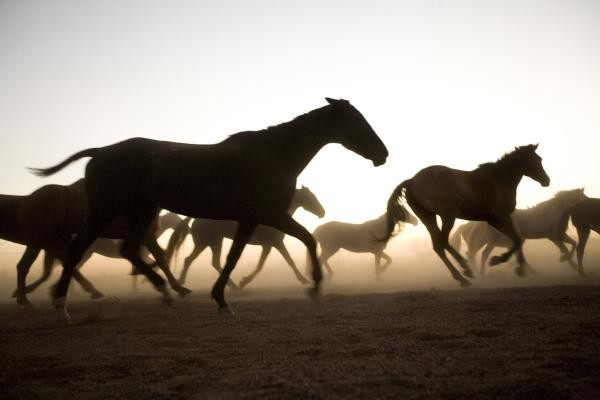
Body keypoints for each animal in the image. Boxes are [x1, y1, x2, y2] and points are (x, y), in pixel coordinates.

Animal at [0, 181, 190, 306]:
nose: (187, 228)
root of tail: (26, 201)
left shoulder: (146, 238)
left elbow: (159, 258)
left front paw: (178, 288)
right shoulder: (146, 237)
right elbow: (159, 259)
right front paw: (173, 288)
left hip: (53, 241)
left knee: (63, 265)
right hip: (41, 240)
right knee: (25, 266)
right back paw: (25, 298)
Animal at [31, 97, 390, 318]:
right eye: (357, 121)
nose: (382, 154)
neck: (274, 155)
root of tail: (101, 152)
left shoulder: (256, 220)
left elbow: (250, 254)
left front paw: (223, 298)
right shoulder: (264, 217)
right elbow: (250, 254)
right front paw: (312, 285)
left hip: (139, 213)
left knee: (127, 250)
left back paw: (164, 291)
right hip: (105, 211)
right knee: (80, 251)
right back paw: (62, 304)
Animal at [382, 145, 552, 286]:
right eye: (536, 160)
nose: (547, 180)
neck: (498, 179)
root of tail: (412, 181)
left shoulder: (495, 220)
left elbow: (517, 239)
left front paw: (522, 270)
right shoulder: (500, 217)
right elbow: (516, 240)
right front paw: (499, 261)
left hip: (428, 217)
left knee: (438, 246)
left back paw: (462, 278)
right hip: (448, 215)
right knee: (443, 241)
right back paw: (466, 269)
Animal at [450, 188, 584, 276]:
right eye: (583, 197)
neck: (555, 212)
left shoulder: (557, 236)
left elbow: (573, 244)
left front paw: (569, 263)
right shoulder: (555, 236)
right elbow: (567, 248)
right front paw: (567, 261)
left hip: (487, 242)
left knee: (475, 254)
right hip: (489, 242)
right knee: (480, 254)